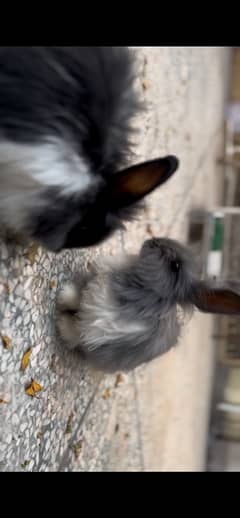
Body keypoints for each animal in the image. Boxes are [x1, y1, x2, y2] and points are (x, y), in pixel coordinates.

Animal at [56, 238, 240, 376]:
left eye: (175, 266)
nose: (153, 240)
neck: (144, 288)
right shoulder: (91, 290)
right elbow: (76, 297)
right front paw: (63, 297)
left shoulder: (97, 332)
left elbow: (75, 333)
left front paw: (62, 326)